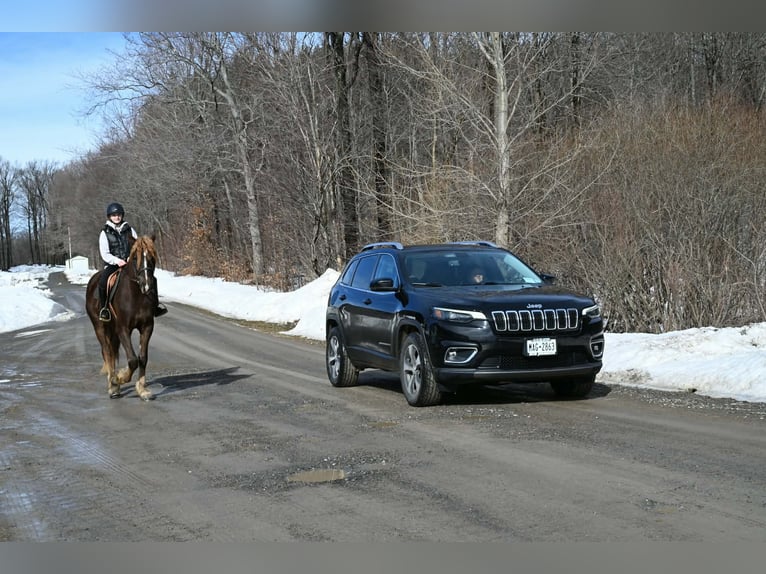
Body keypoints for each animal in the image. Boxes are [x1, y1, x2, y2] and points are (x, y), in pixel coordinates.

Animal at [85, 235, 159, 400]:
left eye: (152, 257)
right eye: (135, 258)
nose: (147, 285)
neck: (136, 295)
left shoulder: (147, 327)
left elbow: (142, 358)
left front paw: (142, 390)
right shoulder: (123, 329)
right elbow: (132, 360)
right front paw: (118, 378)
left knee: (112, 352)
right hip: (99, 327)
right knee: (107, 353)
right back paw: (112, 386)